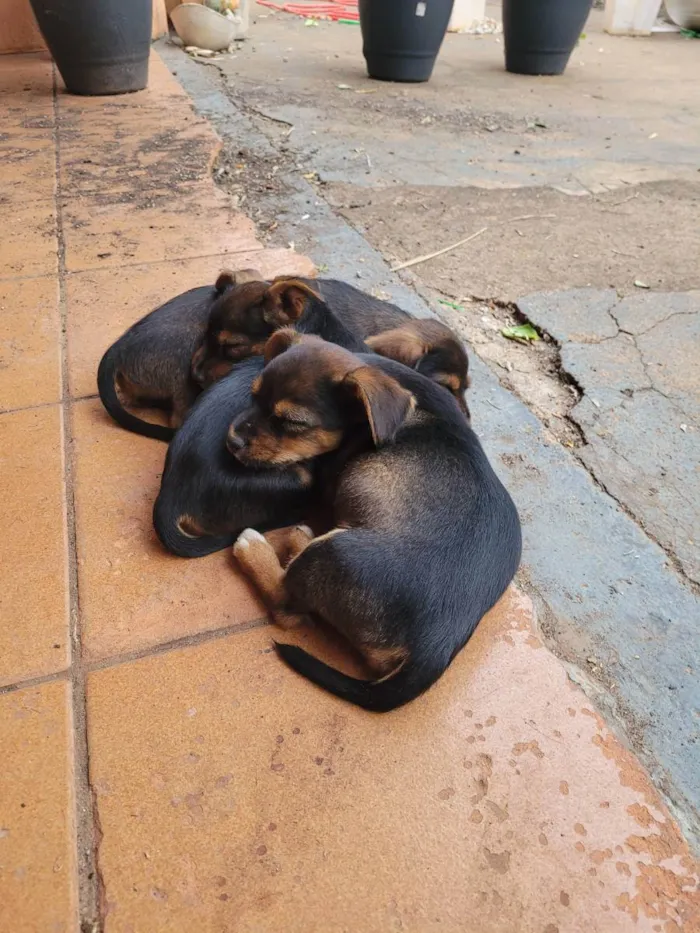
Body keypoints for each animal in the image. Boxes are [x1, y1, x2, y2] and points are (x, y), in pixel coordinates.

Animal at [232, 334, 524, 712]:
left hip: (334, 554)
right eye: (253, 395)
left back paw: (257, 549)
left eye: (294, 423)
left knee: (286, 608)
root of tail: (436, 646)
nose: (231, 441)